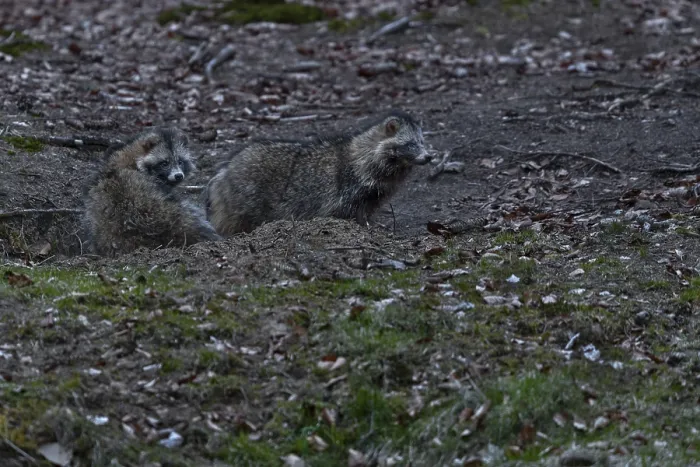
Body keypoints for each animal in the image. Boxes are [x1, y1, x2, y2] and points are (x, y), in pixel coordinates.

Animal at [205, 110, 430, 235]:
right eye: (410, 145)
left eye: (422, 142)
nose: (429, 157)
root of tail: (225, 172)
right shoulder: (347, 188)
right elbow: (347, 213)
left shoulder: (373, 194)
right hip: (244, 198)